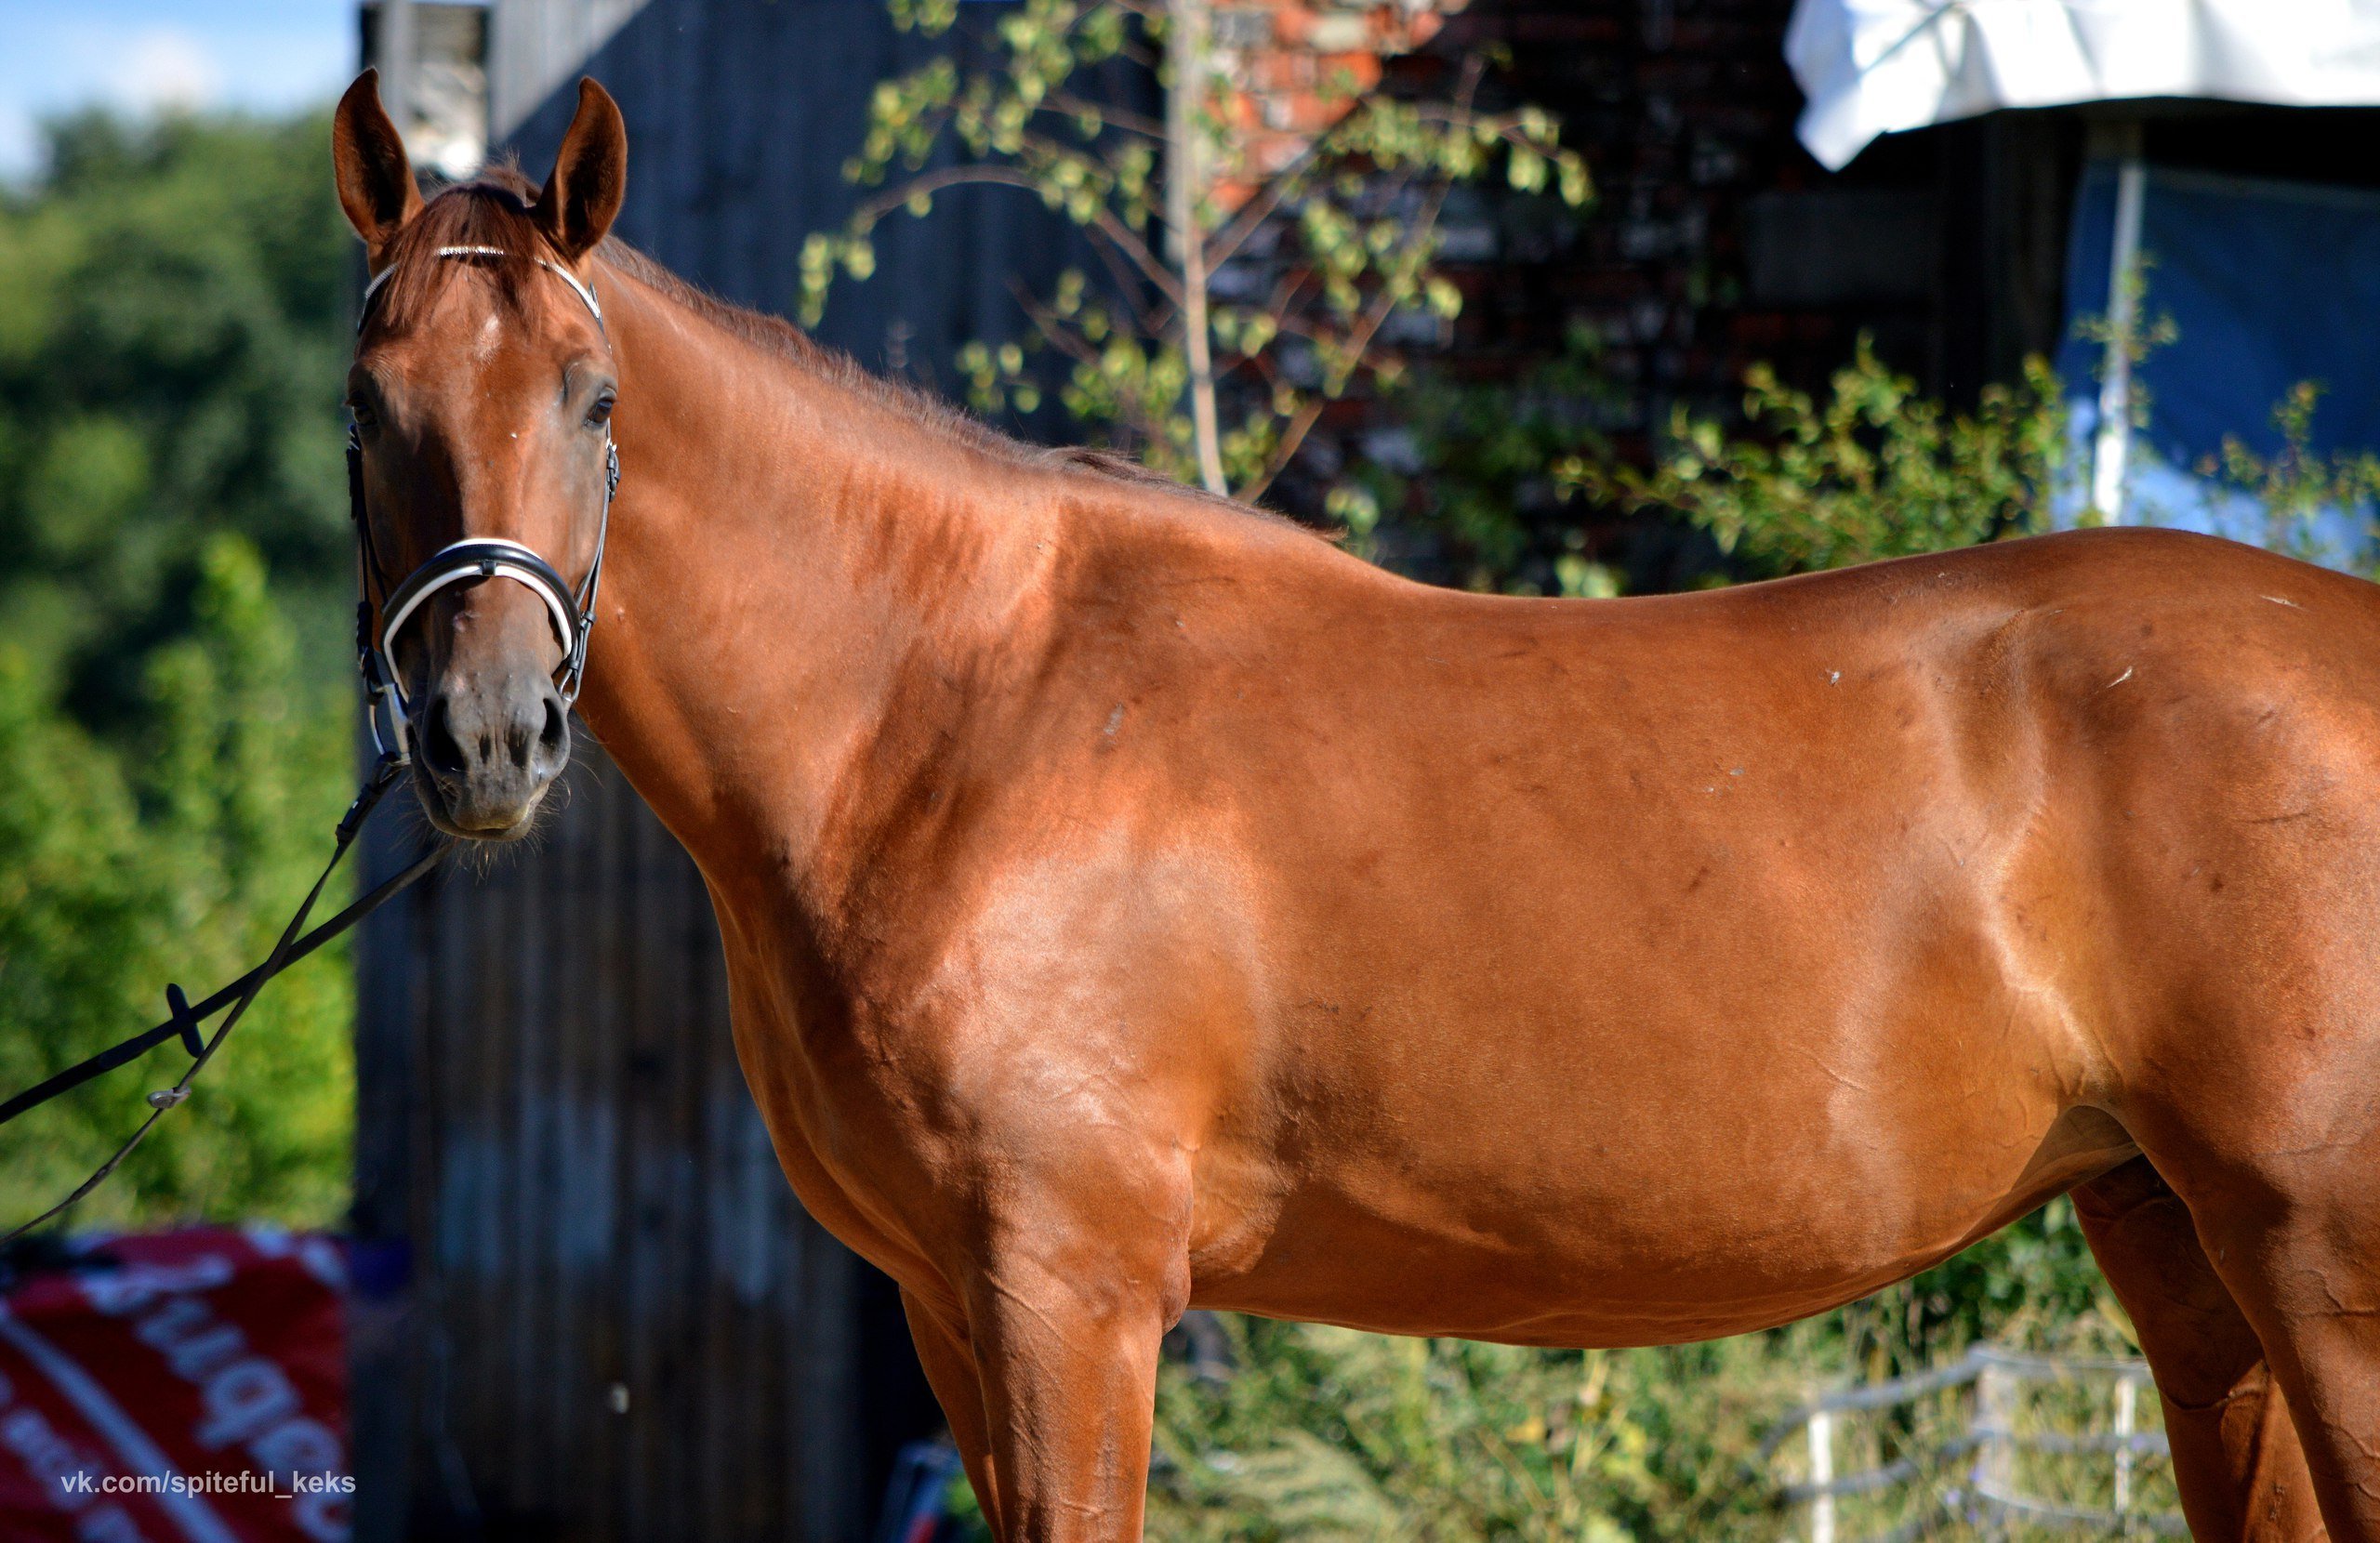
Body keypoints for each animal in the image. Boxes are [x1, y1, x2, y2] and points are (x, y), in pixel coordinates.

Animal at [345, 75, 2370, 1543]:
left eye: (595, 397)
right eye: (370, 411)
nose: (486, 733)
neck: (947, 705)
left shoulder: (1067, 1290)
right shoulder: (951, 1304)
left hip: (2318, 1263)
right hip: (2184, 1261)